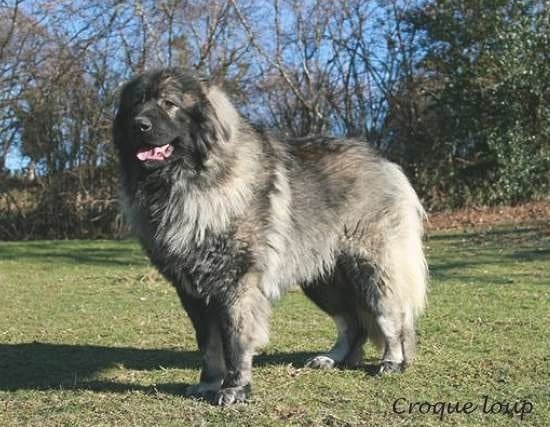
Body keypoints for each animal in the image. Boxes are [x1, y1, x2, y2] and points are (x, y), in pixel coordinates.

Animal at [114, 68, 430, 406]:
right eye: (135, 105)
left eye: (169, 104)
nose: (139, 125)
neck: (187, 184)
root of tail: (385, 163)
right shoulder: (192, 292)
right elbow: (208, 345)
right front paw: (209, 383)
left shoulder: (236, 284)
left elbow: (236, 340)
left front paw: (236, 388)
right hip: (322, 279)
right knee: (352, 323)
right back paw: (332, 359)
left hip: (371, 268)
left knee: (391, 315)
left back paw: (392, 362)